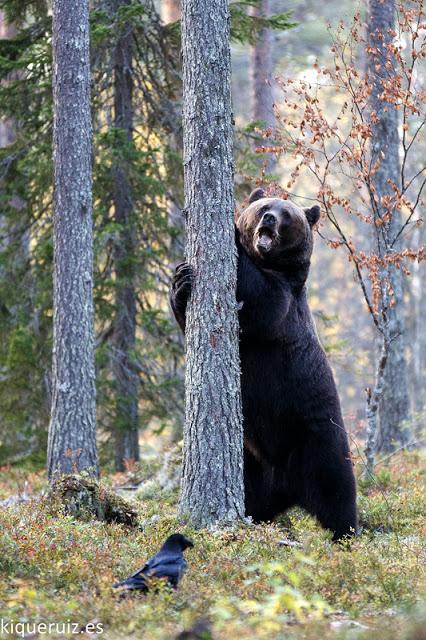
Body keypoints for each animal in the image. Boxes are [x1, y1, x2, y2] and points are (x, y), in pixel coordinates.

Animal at [170, 188, 357, 540]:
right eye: (263, 206)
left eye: (287, 214)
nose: (269, 218)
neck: (268, 261)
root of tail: (287, 488)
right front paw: (181, 280)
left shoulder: (284, 303)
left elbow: (263, 301)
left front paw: (229, 234)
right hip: (251, 460)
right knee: (251, 495)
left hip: (316, 436)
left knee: (336, 488)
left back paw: (347, 534)